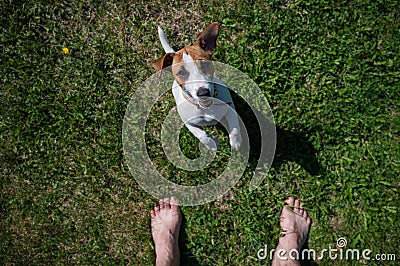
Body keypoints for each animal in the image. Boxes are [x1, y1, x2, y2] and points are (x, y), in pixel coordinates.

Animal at [152, 22, 241, 152]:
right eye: (181, 73)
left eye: (204, 63)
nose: (203, 92)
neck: (205, 108)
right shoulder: (189, 123)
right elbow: (201, 135)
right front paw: (212, 144)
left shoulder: (230, 107)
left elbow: (234, 126)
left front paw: (236, 141)